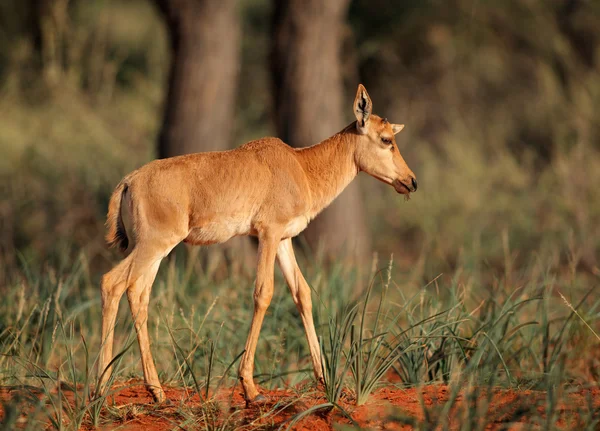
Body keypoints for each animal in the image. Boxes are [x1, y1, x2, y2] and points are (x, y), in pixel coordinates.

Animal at [97, 84, 418, 404]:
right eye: (386, 139)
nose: (412, 181)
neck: (300, 165)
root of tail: (129, 181)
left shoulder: (285, 239)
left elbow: (302, 293)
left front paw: (323, 378)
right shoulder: (268, 233)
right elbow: (263, 293)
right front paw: (250, 387)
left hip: (156, 251)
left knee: (138, 294)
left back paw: (156, 390)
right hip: (154, 244)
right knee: (112, 283)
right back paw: (100, 387)